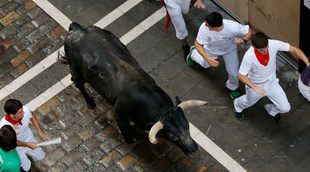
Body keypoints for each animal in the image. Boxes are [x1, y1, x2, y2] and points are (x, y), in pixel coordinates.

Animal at [62, 22, 208, 155]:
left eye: (187, 126)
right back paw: (91, 103)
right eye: (173, 136)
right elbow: (126, 131)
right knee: (78, 84)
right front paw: (131, 140)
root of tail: (79, 29)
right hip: (76, 69)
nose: (193, 148)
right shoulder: (119, 113)